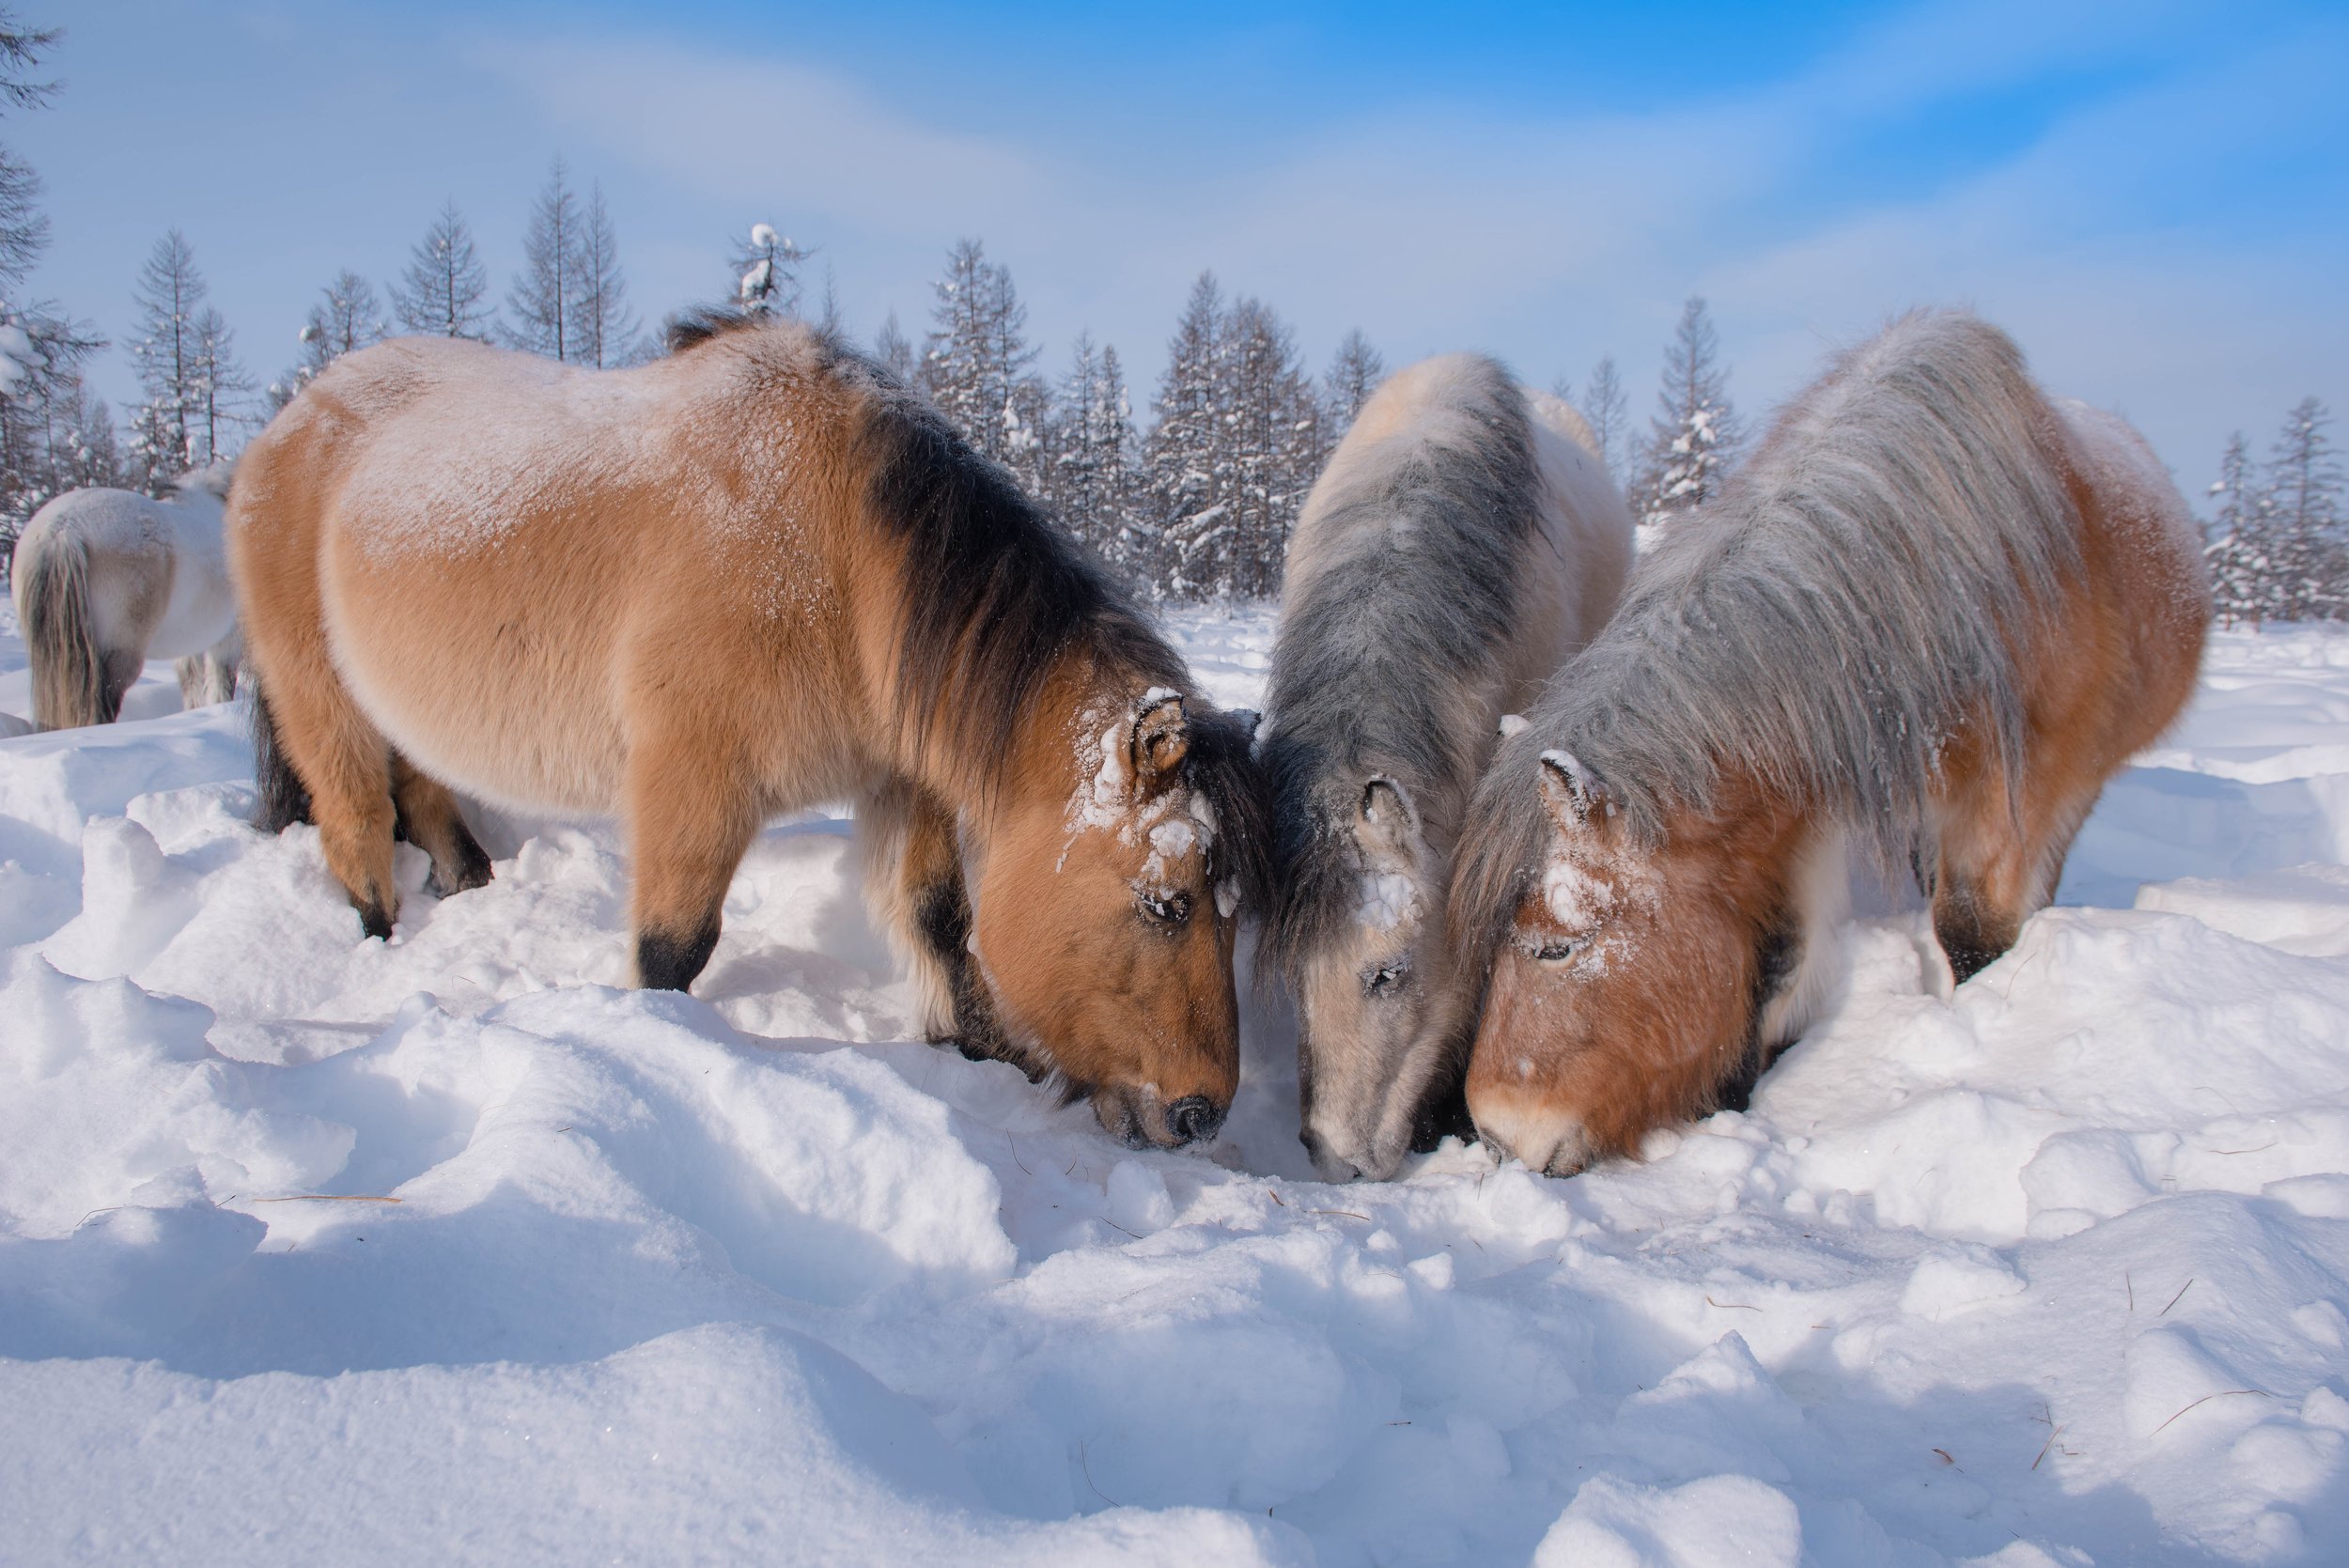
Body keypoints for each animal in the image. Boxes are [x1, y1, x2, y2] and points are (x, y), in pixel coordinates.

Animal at [9, 466, 243, 729]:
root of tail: (63, 529)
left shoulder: (191, 645)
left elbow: (192, 687)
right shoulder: (229, 642)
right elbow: (221, 688)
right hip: (119, 651)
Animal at [228, 312, 1267, 1150]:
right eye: (1165, 903)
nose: (1202, 1115)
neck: (837, 556)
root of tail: (283, 428)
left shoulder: (899, 780)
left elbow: (939, 917)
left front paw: (975, 1046)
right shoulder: (692, 780)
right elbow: (671, 949)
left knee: (425, 799)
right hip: (319, 698)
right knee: (356, 827)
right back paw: (378, 943)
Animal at [1449, 311, 2210, 1176]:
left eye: (1557, 947)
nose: (1498, 1135)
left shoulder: (2013, 795)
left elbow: (1974, 930)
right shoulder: (1807, 792)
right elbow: (1787, 949)